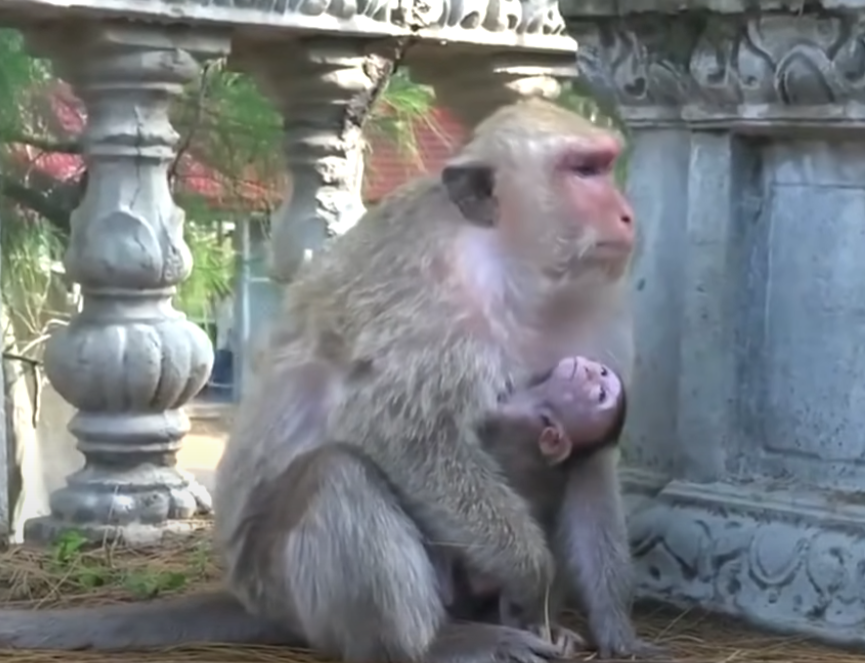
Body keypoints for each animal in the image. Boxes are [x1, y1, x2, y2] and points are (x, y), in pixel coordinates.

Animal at [0, 99, 661, 661]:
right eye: (584, 170)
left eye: (604, 164)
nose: (627, 212)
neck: (511, 269)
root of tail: (252, 599)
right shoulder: (429, 311)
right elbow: (401, 436)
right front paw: (531, 576)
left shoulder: (599, 307)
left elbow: (591, 463)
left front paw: (616, 629)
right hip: (285, 588)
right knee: (337, 475)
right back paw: (437, 645)